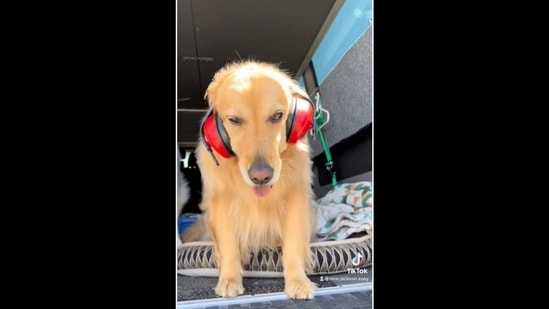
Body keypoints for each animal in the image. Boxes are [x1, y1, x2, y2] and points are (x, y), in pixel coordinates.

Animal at [181, 60, 314, 298]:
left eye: (277, 116)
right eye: (234, 120)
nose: (261, 176)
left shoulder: (295, 197)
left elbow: (293, 244)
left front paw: (298, 281)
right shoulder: (221, 202)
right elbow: (228, 246)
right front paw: (229, 279)